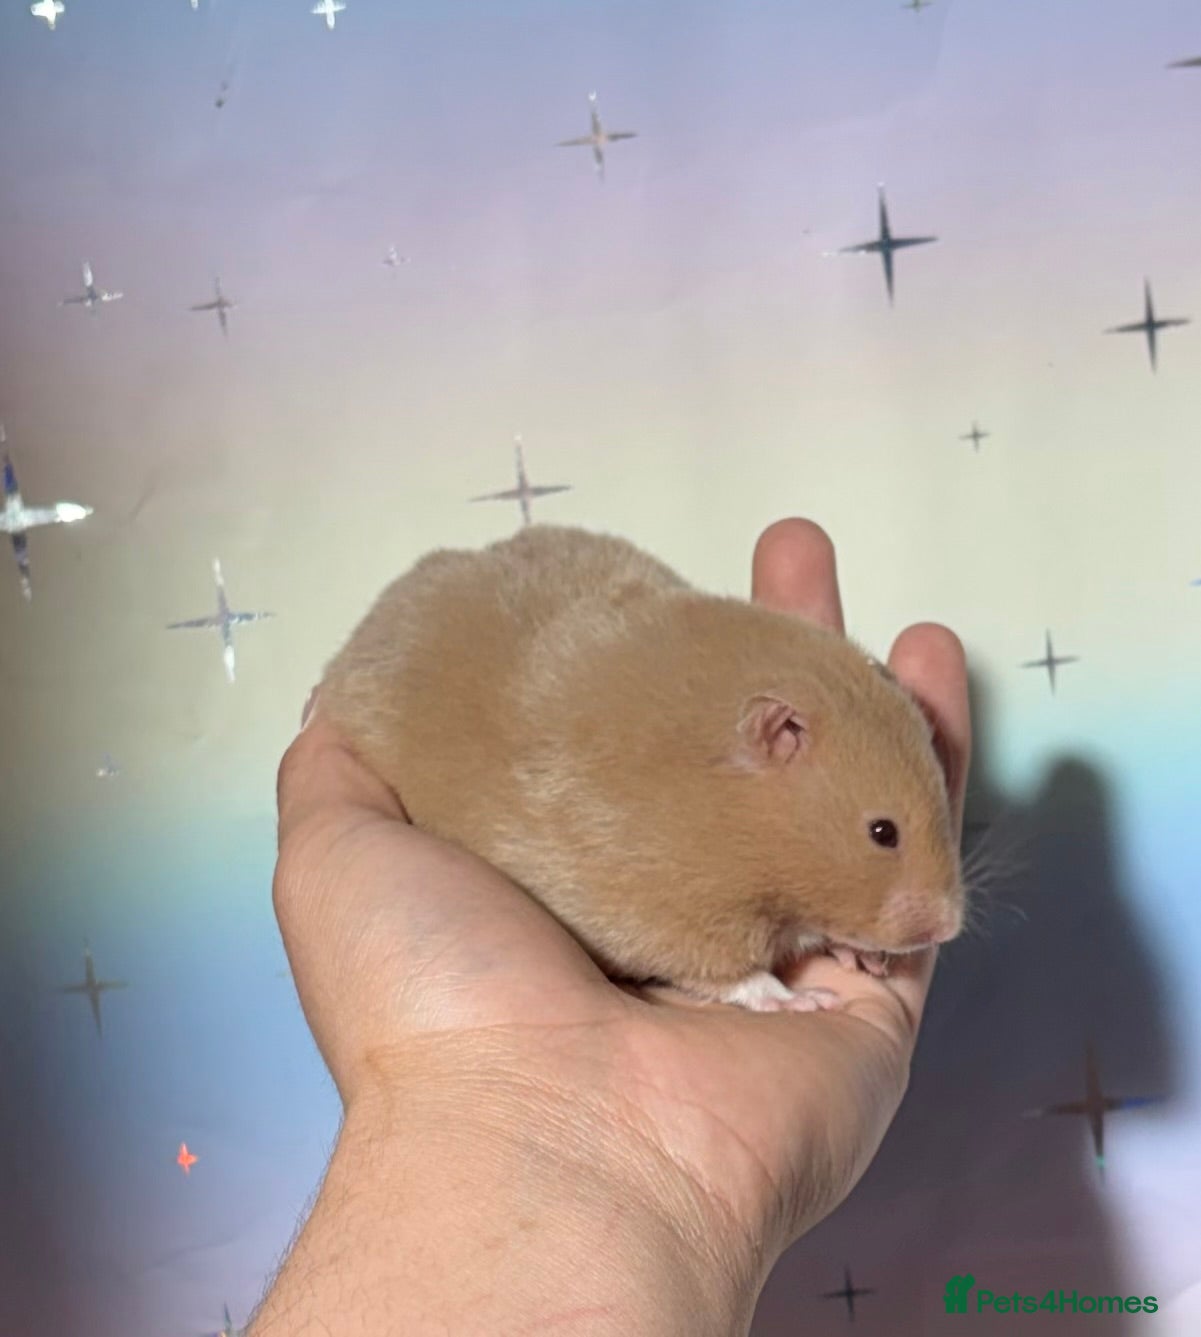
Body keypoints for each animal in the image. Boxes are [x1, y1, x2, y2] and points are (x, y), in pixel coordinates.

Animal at [318, 525, 964, 1013]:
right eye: (882, 832)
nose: (948, 929)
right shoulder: (660, 912)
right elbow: (732, 973)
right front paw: (804, 999)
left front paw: (866, 958)